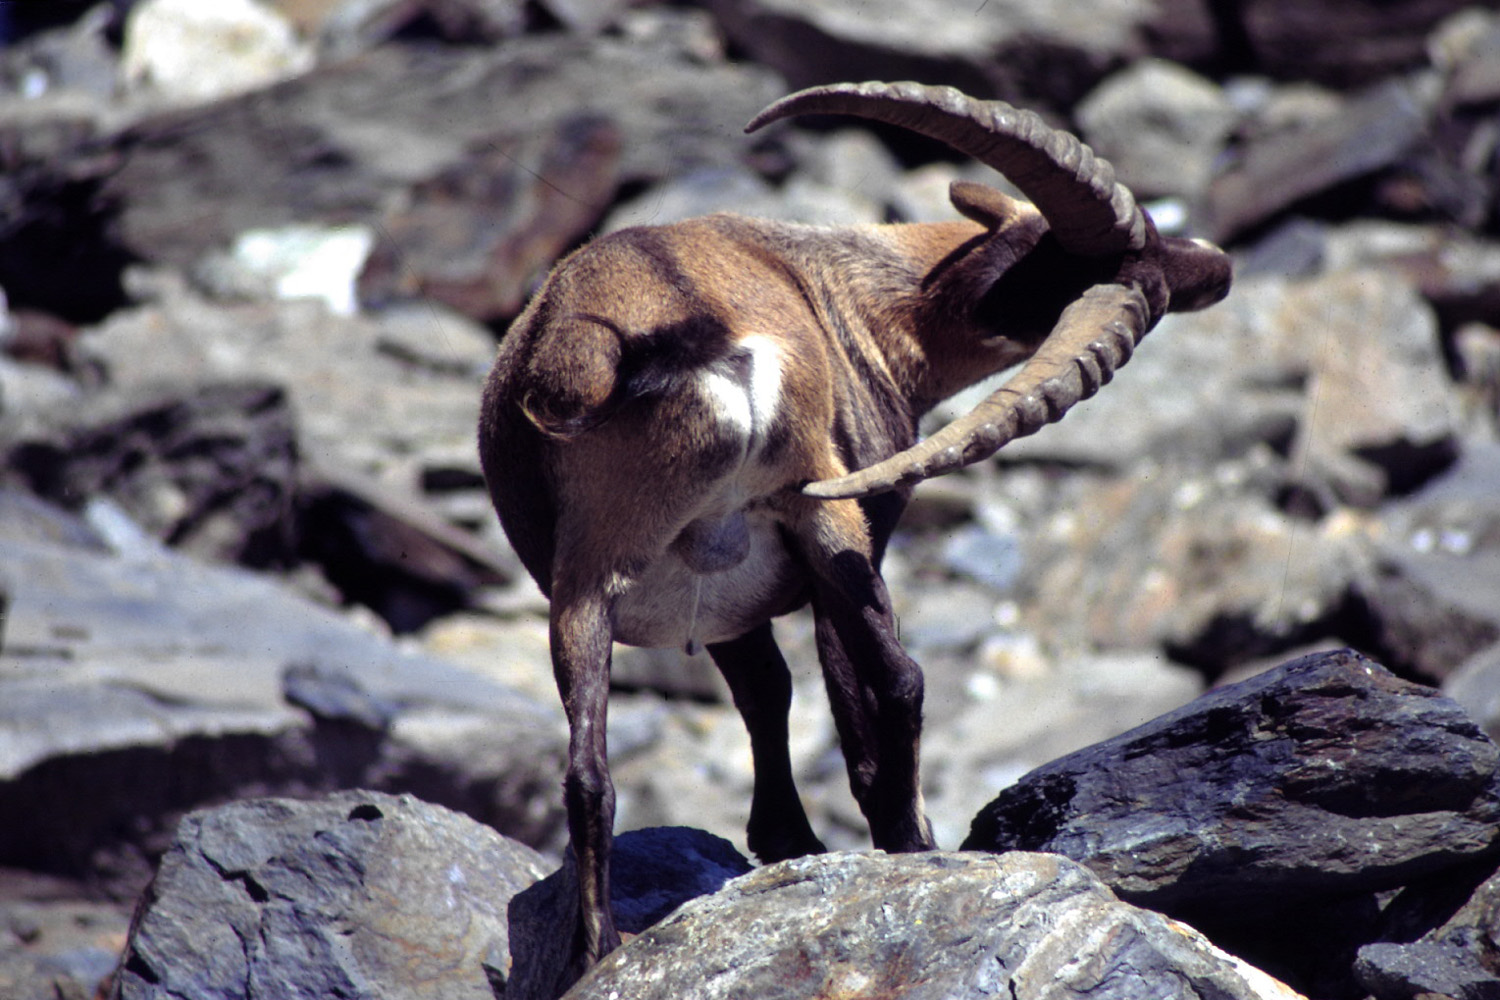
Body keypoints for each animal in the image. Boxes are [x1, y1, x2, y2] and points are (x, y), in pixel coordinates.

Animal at [477, 82, 1230, 971]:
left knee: (591, 771)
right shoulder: (839, 539)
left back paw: (596, 953)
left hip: (601, 583)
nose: (1216, 267)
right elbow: (824, 700)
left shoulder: (724, 597)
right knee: (896, 682)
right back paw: (909, 848)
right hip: (795, 528)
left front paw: (787, 840)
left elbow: (768, 693)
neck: (864, 304)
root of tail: (691, 335)